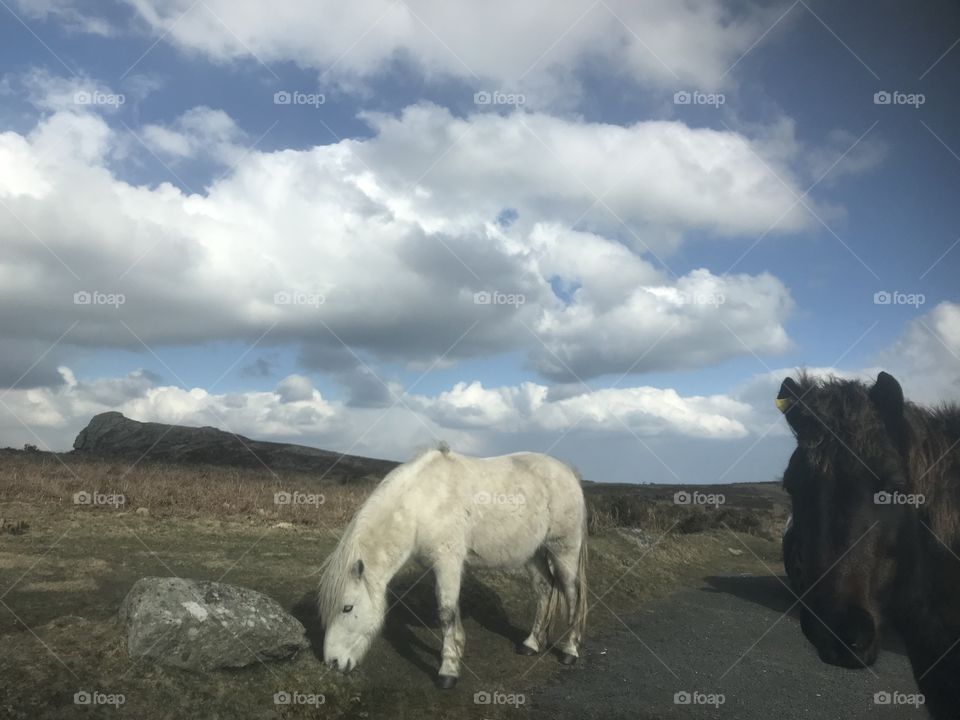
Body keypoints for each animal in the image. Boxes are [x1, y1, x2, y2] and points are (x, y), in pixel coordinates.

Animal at [318, 444, 588, 688]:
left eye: (347, 607)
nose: (332, 663)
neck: (423, 502)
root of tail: (569, 473)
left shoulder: (447, 563)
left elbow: (446, 613)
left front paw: (448, 671)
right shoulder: (443, 568)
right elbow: (452, 609)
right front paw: (457, 651)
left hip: (564, 551)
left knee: (572, 594)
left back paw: (569, 651)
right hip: (534, 554)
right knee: (544, 590)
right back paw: (531, 644)